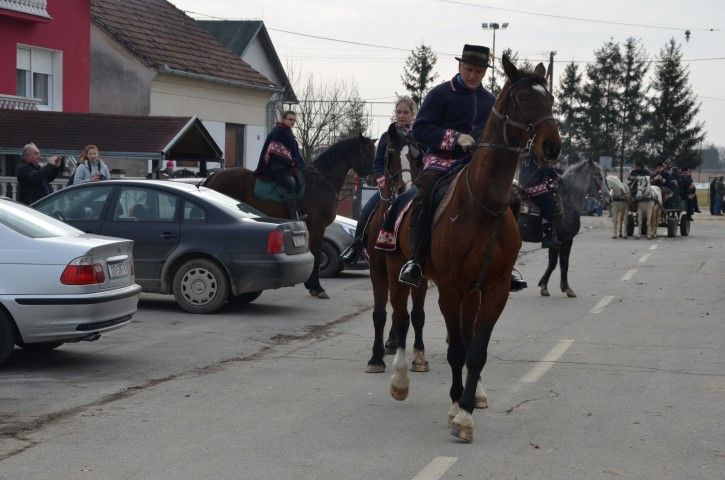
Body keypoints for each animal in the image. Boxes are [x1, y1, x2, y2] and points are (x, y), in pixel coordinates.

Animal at [203, 133, 376, 299]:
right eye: (366, 153)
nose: (373, 179)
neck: (321, 182)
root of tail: (214, 176)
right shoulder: (317, 227)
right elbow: (316, 254)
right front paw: (317, 288)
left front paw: (311, 285)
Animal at [364, 123, 429, 374]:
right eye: (389, 153)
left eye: (417, 157)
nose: (405, 189)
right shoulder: (378, 271)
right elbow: (380, 314)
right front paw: (375, 358)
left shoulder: (416, 275)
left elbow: (417, 314)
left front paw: (419, 358)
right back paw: (392, 343)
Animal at [386, 57, 562, 442]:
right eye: (523, 97)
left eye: (551, 98)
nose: (552, 147)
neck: (483, 204)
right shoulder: (450, 288)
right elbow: (456, 349)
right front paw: (456, 407)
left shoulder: (494, 289)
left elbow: (476, 350)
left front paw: (466, 409)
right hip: (398, 274)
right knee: (402, 320)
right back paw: (400, 380)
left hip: (470, 292)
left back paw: (474, 391)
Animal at [534, 158, 611, 297]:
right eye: (598, 175)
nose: (609, 198)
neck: (566, 201)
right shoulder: (566, 239)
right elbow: (562, 263)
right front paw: (566, 288)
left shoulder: (556, 242)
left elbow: (553, 263)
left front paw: (543, 284)